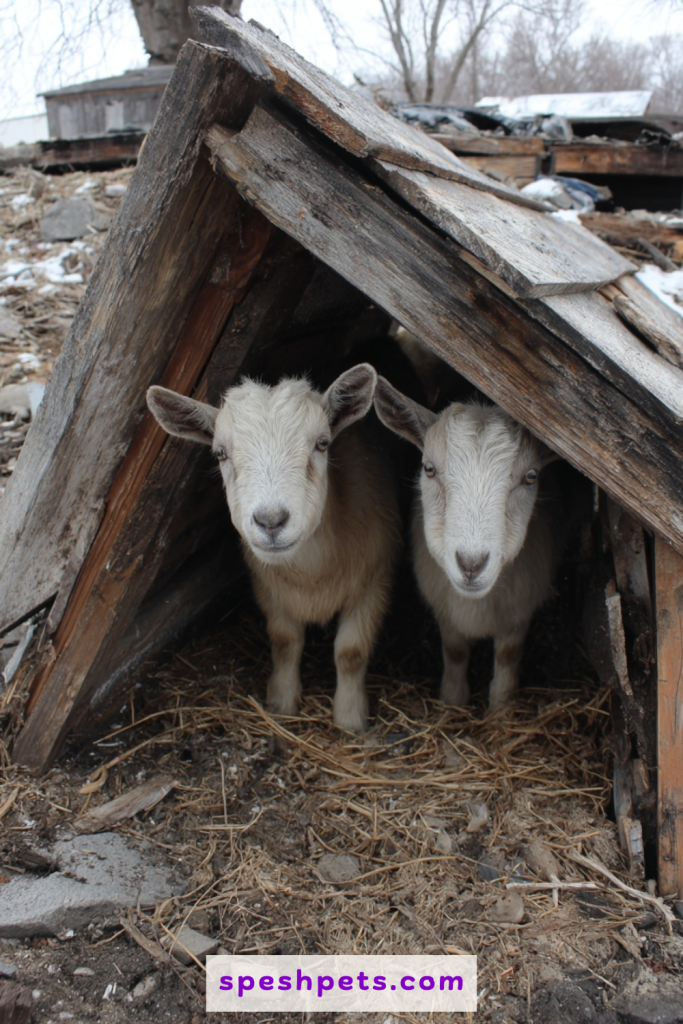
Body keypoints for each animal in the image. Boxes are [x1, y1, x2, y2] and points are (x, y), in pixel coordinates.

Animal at [147, 364, 401, 734]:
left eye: (322, 443)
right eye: (220, 453)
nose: (270, 521)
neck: (312, 574)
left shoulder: (375, 582)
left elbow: (350, 652)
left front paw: (350, 719)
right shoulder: (268, 587)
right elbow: (284, 640)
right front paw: (281, 701)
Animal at [374, 377, 566, 709]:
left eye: (531, 476)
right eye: (429, 468)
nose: (471, 564)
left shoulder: (519, 610)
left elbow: (508, 656)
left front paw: (501, 709)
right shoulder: (445, 607)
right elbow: (455, 651)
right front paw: (452, 701)